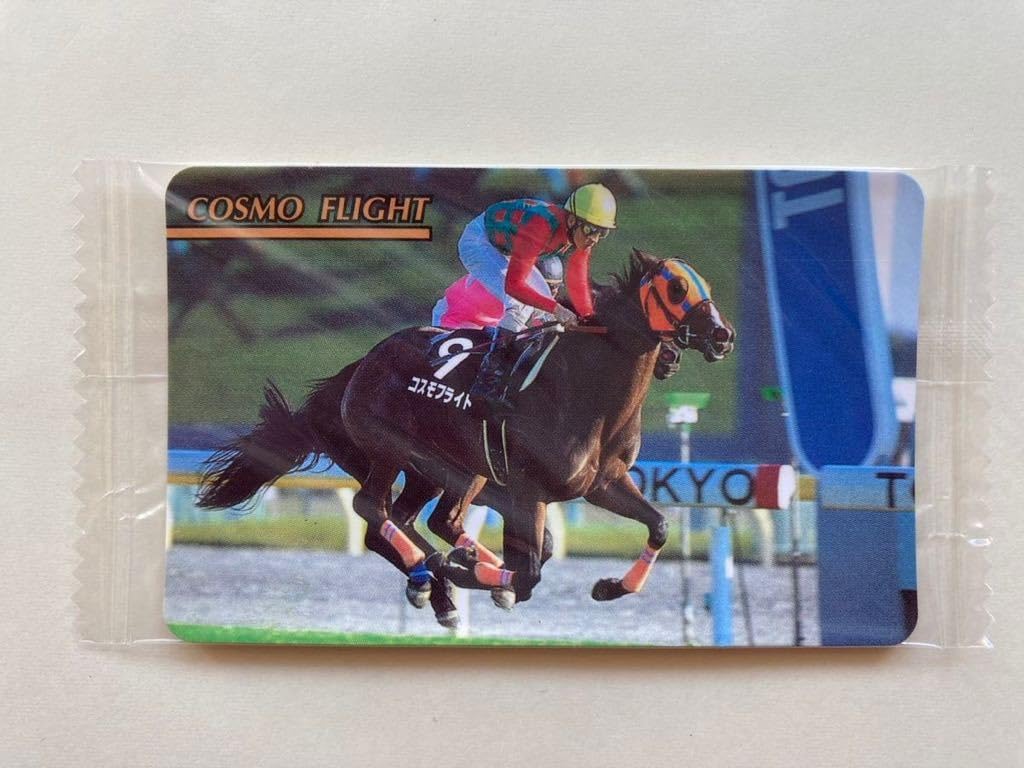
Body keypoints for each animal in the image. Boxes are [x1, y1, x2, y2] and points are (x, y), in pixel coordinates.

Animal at [196, 248, 734, 626]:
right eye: (675, 287)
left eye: (703, 283)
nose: (722, 335)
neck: (588, 390)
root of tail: (362, 364)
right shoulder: (529, 489)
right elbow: (531, 570)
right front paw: (468, 571)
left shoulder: (603, 483)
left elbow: (657, 526)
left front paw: (608, 587)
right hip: (393, 449)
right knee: (375, 510)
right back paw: (437, 571)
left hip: (447, 470)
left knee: (419, 519)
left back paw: (441, 584)